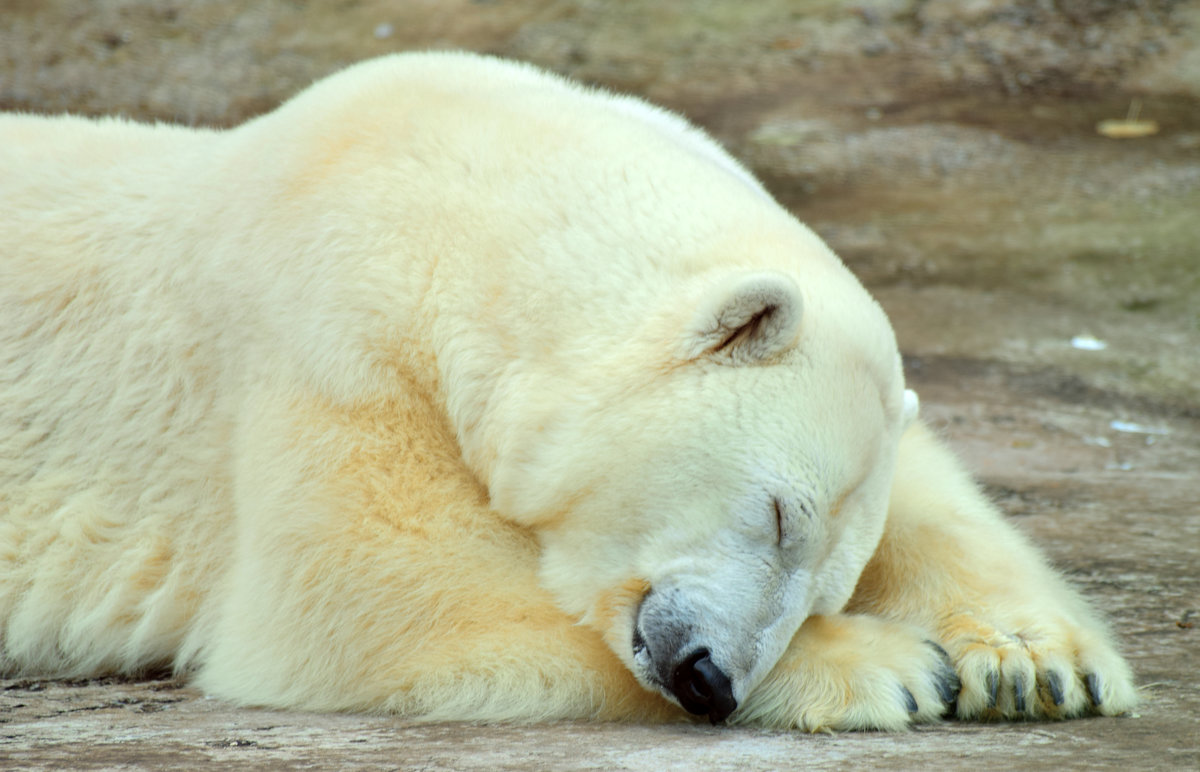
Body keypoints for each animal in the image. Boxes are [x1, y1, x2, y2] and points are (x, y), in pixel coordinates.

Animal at [2, 52, 1132, 729]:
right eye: (777, 514)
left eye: (827, 573)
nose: (711, 678)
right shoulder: (326, 328)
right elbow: (383, 596)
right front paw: (893, 668)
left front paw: (1035, 661)